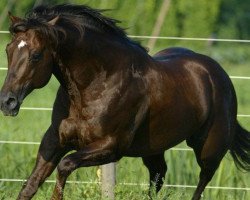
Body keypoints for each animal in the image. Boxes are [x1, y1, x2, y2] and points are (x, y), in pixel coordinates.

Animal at [0, 3, 250, 199]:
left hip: (209, 149)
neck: (97, 83)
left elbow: (65, 165)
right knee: (158, 176)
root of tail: (219, 73)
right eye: (8, 49)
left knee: (202, 180)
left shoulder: (111, 147)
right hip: (154, 149)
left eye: (36, 55)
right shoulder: (54, 139)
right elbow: (30, 185)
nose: (7, 102)